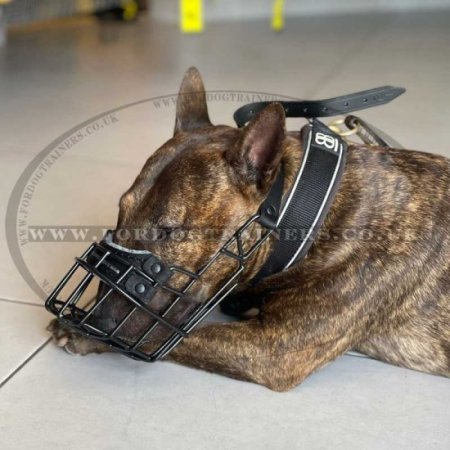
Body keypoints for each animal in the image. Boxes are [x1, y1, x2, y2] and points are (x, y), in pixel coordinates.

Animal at [47, 66, 448, 390]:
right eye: (121, 211)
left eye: (169, 231)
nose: (96, 317)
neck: (309, 216)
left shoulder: (273, 349)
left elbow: (178, 337)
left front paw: (80, 333)